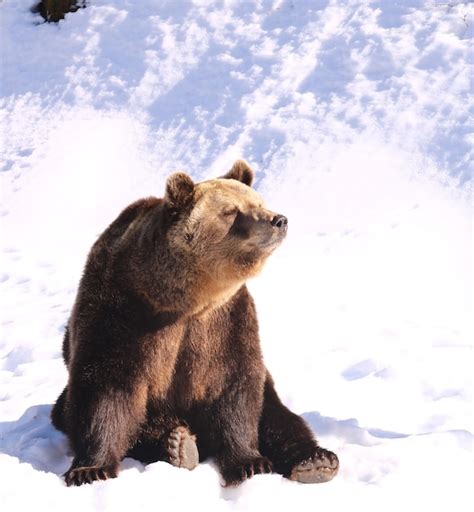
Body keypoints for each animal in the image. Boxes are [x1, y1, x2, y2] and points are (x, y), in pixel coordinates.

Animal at [51, 160, 338, 488]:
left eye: (258, 202)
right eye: (231, 211)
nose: (278, 220)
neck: (184, 300)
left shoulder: (225, 321)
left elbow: (235, 386)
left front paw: (250, 463)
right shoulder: (123, 310)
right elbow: (107, 385)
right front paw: (90, 469)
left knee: (278, 414)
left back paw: (315, 461)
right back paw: (177, 443)